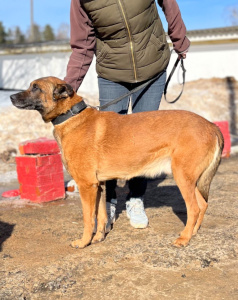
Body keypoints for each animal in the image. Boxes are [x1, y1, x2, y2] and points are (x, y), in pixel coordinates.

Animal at [10, 77, 223, 248]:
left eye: (36, 87)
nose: (11, 97)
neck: (71, 115)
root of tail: (211, 126)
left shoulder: (86, 186)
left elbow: (88, 218)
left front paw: (84, 241)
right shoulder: (98, 186)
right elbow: (101, 214)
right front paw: (99, 237)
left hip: (182, 177)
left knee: (194, 208)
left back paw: (184, 238)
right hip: (190, 179)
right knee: (203, 205)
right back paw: (192, 232)